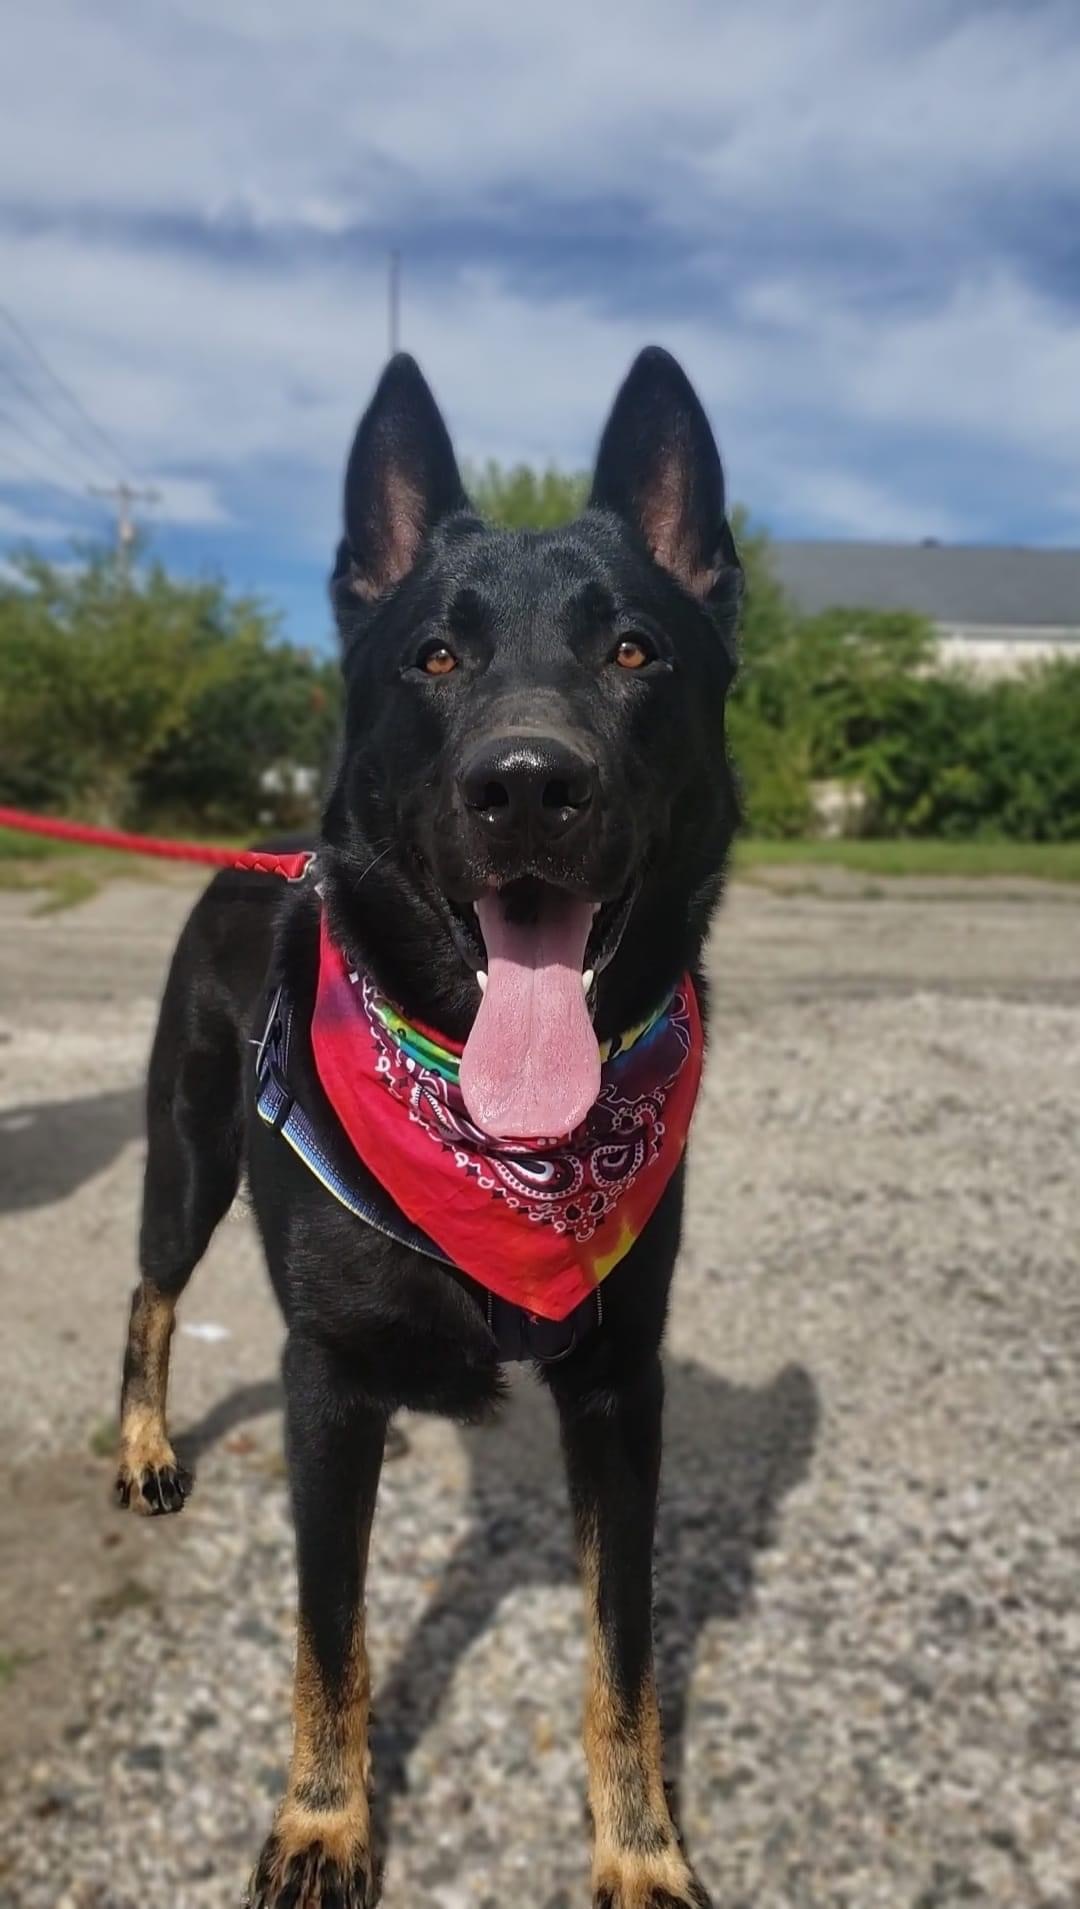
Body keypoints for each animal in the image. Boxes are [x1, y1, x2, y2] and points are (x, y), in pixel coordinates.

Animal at [116, 347, 744, 1909]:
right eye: (436, 660)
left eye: (633, 651)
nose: (525, 783)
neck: (492, 1127)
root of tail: (254, 856)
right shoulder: (331, 1376)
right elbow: (328, 1635)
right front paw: (325, 1822)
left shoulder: (620, 1391)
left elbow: (623, 1651)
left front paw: (640, 1846)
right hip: (187, 1159)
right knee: (150, 1294)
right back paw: (144, 1444)